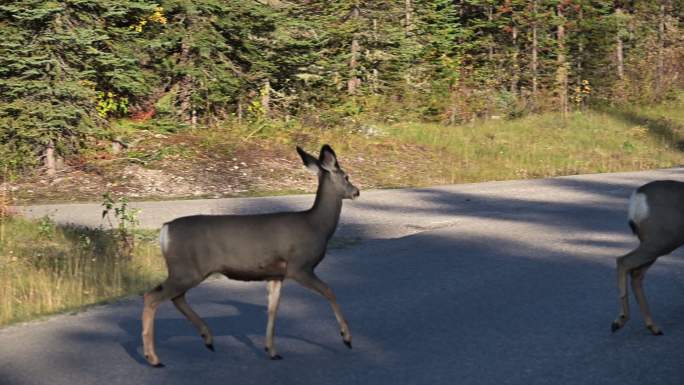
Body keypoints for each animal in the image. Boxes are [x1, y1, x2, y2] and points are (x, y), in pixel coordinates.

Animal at [142, 145, 360, 366]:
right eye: (346, 176)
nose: (356, 192)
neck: (317, 226)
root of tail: (165, 230)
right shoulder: (299, 266)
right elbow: (329, 291)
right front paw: (347, 338)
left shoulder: (276, 275)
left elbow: (273, 309)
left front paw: (271, 350)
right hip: (186, 270)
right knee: (152, 297)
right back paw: (154, 357)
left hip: (184, 270)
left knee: (175, 298)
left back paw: (207, 338)